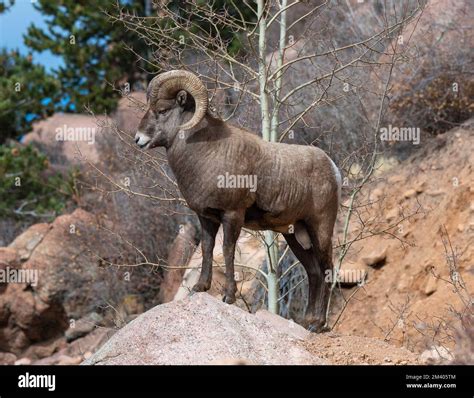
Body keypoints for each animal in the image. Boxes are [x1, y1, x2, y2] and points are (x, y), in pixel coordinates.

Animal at [136, 70, 340, 332]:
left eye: (162, 110)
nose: (138, 139)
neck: (205, 152)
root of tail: (333, 169)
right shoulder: (206, 218)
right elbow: (207, 249)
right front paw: (200, 287)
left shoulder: (232, 215)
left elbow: (227, 250)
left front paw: (228, 297)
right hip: (295, 235)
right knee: (313, 272)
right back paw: (307, 322)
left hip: (320, 228)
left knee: (327, 269)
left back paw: (319, 324)